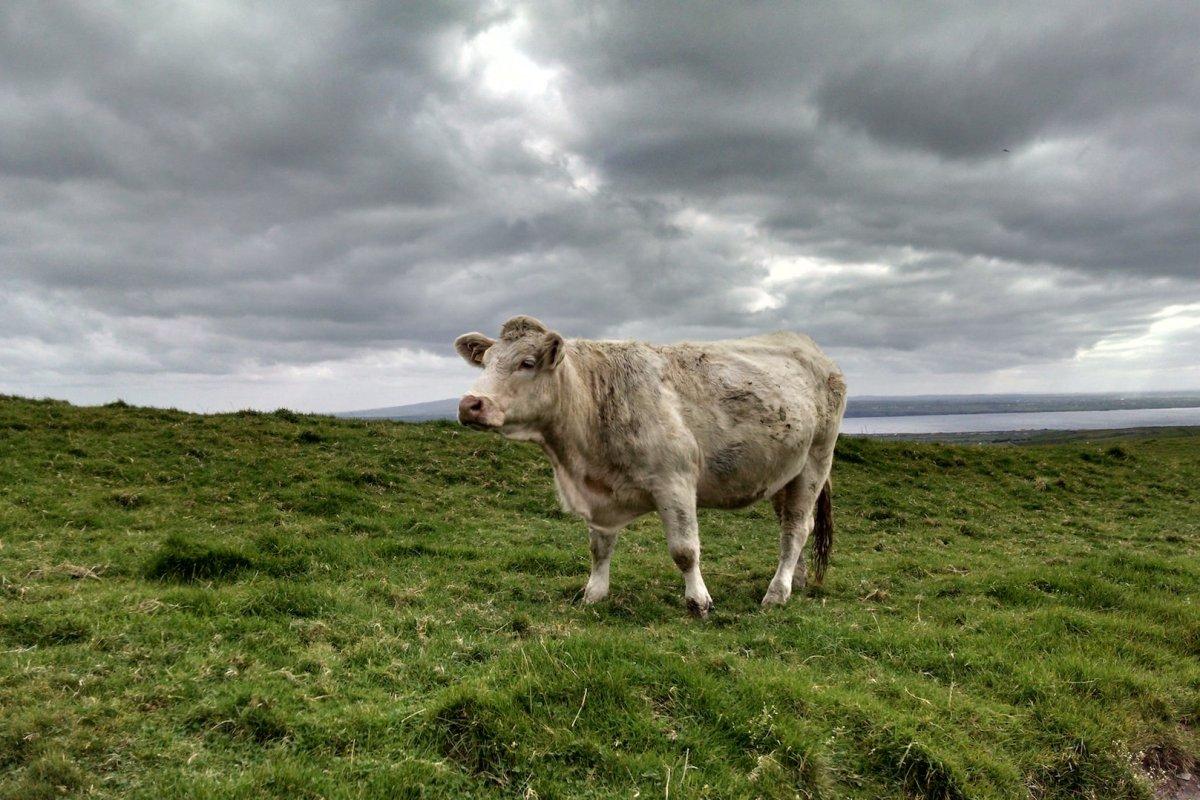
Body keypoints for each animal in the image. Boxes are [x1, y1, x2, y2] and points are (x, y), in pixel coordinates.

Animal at [453, 316, 849, 618]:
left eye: (527, 363)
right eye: (486, 362)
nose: (470, 404)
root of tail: (810, 348)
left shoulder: (675, 481)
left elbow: (685, 550)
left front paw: (698, 601)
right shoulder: (601, 494)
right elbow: (599, 547)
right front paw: (594, 592)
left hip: (816, 460)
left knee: (796, 527)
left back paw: (777, 592)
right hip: (785, 472)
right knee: (794, 527)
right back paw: (795, 579)